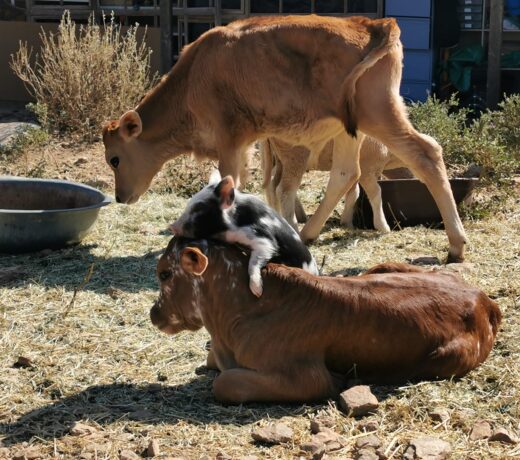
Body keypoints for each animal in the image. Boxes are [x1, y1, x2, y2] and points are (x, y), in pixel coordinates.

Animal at [149, 237, 500, 402]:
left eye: (164, 273)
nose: (155, 313)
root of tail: (481, 297)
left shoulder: (305, 377)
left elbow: (224, 383)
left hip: (445, 358)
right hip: (384, 265)